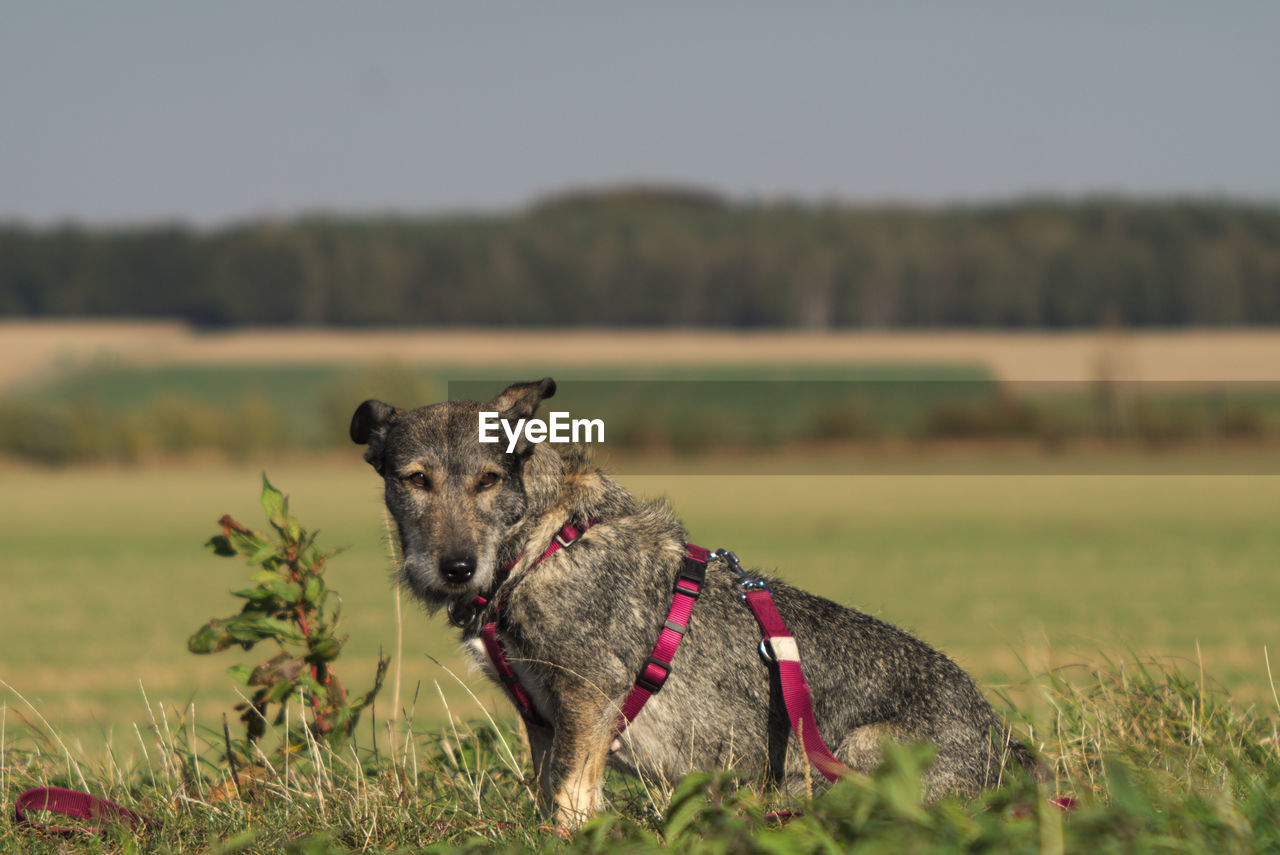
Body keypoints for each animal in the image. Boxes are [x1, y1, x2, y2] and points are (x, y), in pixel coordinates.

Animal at [353, 376, 1049, 824]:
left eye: (489, 480)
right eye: (416, 480)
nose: (455, 568)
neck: (541, 546)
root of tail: (1007, 752)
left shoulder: (584, 701)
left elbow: (570, 805)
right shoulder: (545, 719)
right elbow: (550, 797)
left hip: (856, 755)